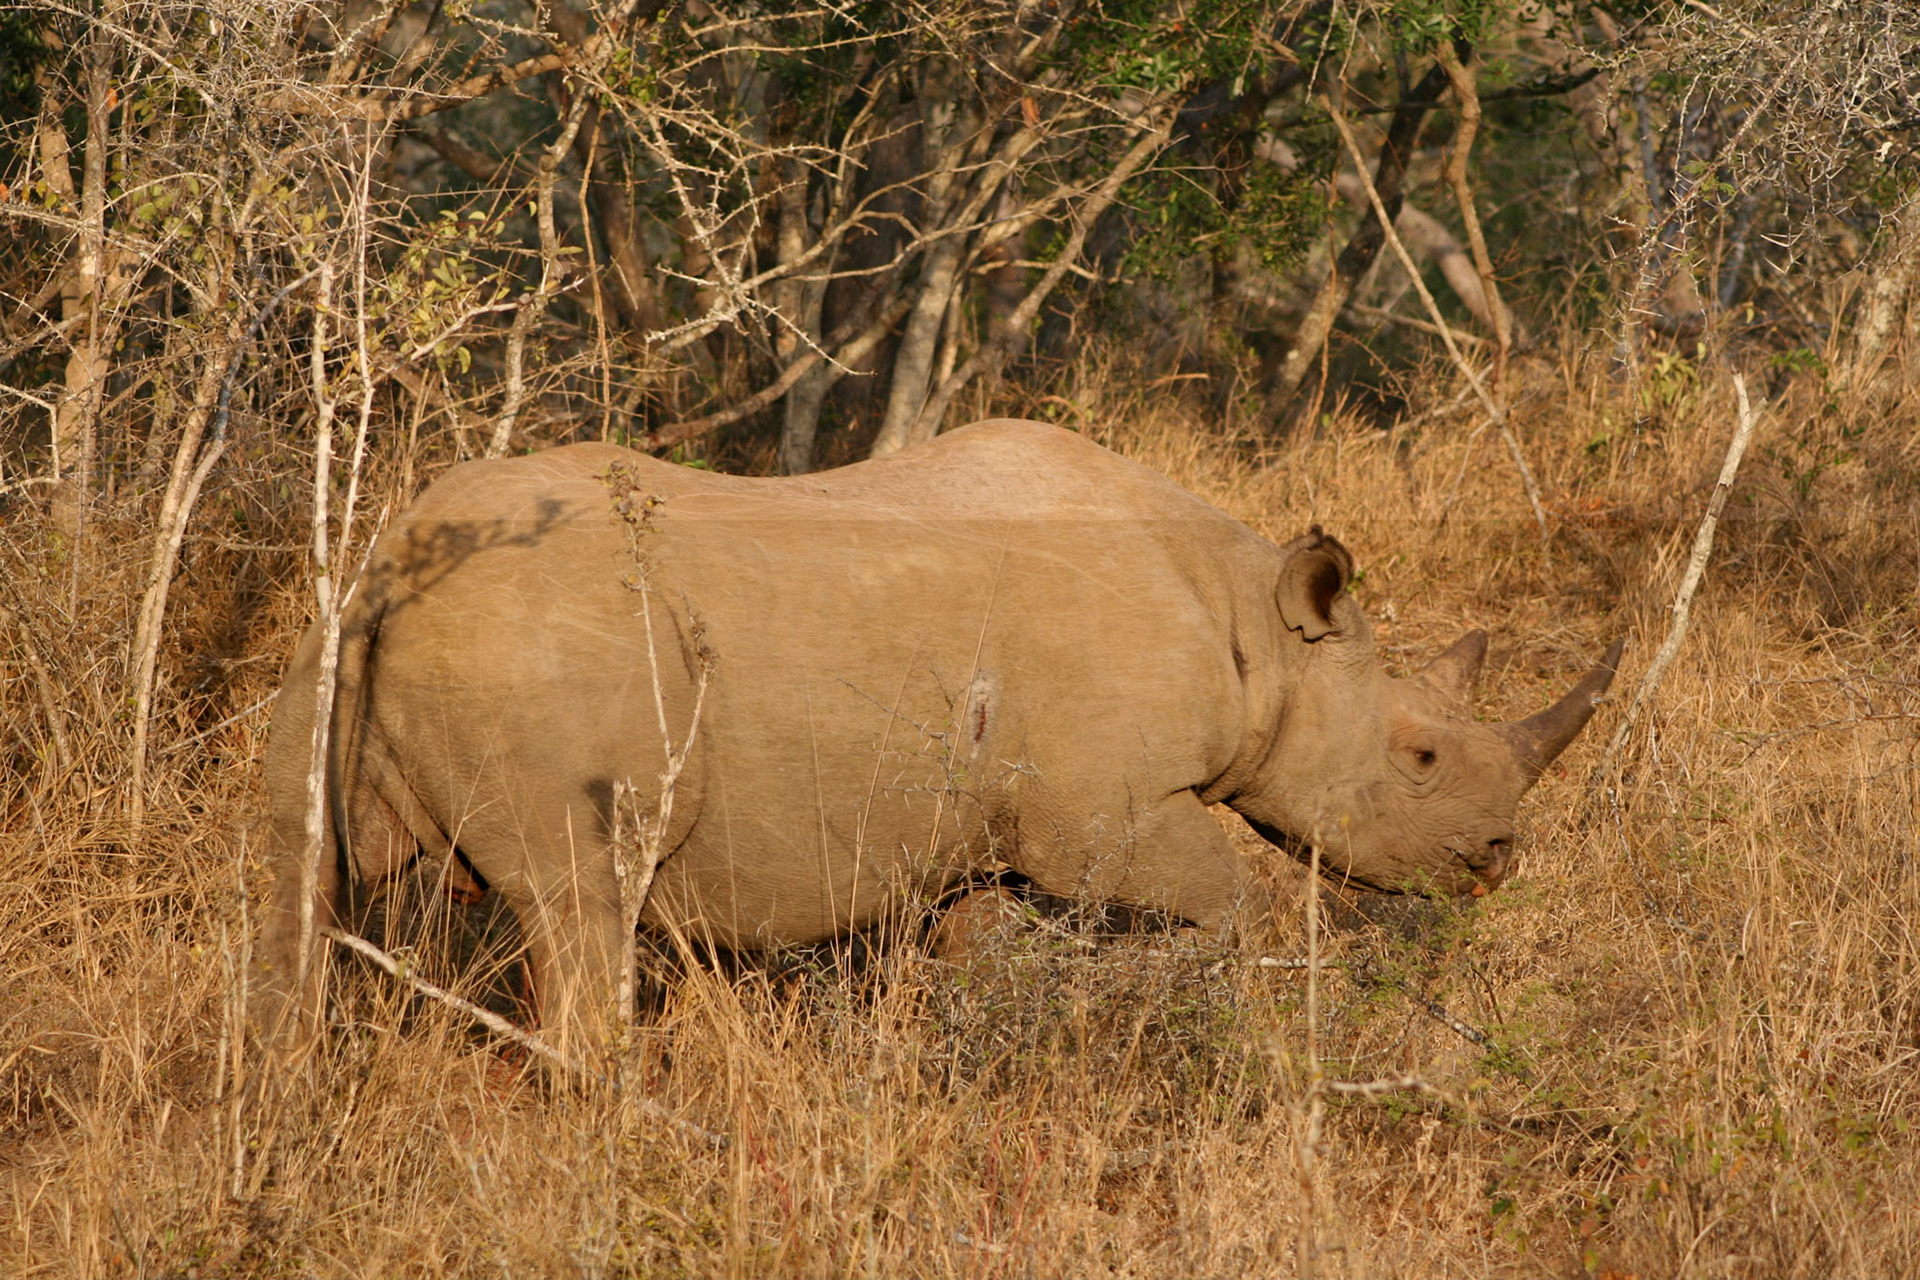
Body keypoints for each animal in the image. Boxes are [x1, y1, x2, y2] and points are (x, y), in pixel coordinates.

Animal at [255, 419, 1620, 1052]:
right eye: (1419, 756)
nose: (1499, 857)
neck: (1264, 634)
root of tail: (393, 563)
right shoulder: (1102, 814)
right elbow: (1237, 893)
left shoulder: (981, 830)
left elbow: (969, 955)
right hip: (535, 650)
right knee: (580, 900)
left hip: (336, 635)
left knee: (299, 888)